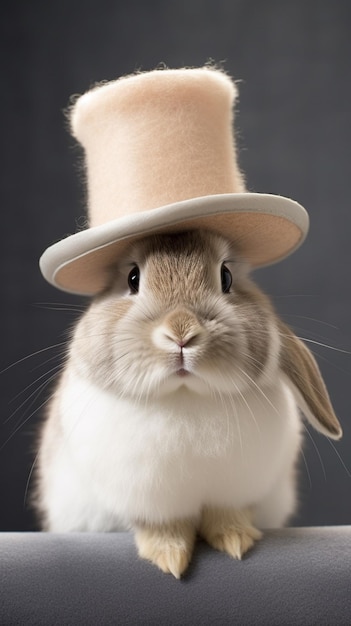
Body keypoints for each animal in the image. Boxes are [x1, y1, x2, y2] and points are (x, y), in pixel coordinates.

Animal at [35, 228, 344, 576]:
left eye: (226, 277)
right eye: (132, 278)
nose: (181, 332)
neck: (186, 394)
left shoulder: (233, 494)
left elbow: (227, 515)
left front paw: (235, 540)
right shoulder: (149, 502)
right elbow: (163, 526)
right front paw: (169, 556)